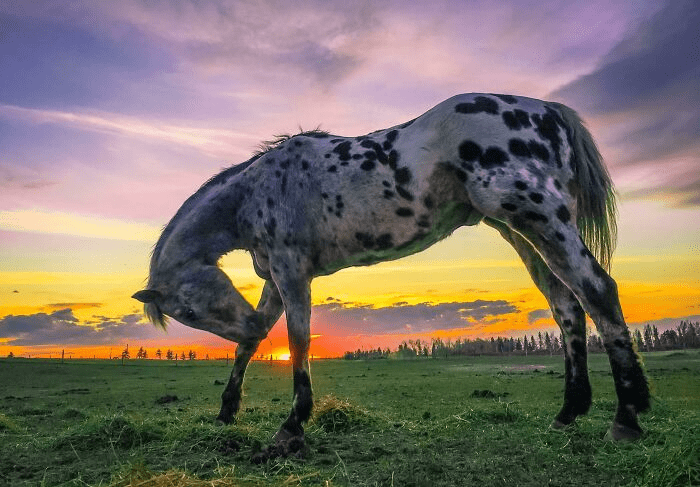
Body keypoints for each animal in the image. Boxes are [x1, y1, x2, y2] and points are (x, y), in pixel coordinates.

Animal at [135, 93, 652, 460]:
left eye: (187, 310)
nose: (245, 325)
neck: (256, 190)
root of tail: (549, 110)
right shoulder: (273, 280)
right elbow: (254, 345)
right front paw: (227, 410)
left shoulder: (291, 273)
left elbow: (298, 342)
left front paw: (292, 427)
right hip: (521, 233)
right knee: (567, 307)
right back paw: (568, 413)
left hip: (542, 220)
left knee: (598, 291)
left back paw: (626, 419)